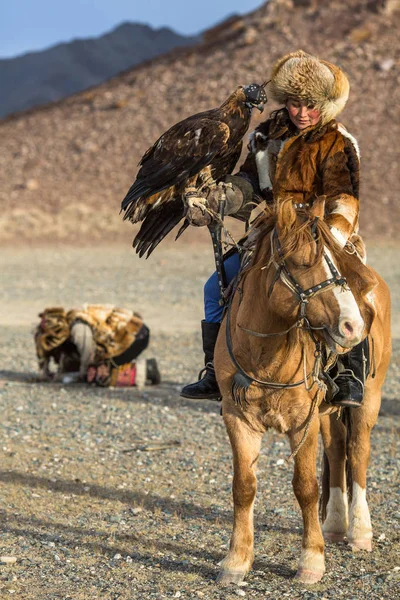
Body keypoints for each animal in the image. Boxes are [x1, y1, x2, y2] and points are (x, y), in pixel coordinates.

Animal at [214, 198, 392, 584]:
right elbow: (243, 486)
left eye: (335, 259)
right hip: (329, 412)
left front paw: (311, 561)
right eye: (300, 262)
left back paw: (360, 531)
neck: (265, 355)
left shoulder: (303, 421)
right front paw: (236, 560)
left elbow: (306, 487)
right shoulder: (237, 419)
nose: (352, 325)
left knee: (357, 452)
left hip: (368, 400)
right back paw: (336, 525)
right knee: (338, 450)